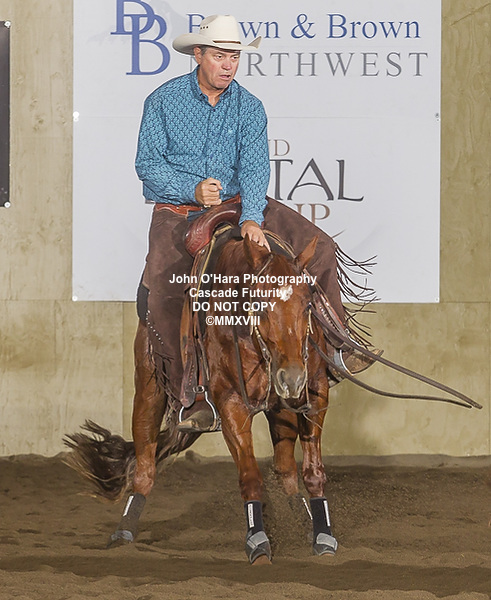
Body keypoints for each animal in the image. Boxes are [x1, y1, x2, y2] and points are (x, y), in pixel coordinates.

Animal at [65, 229, 338, 564]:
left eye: (308, 305)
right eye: (260, 305)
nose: (292, 377)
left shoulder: (314, 395)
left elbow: (313, 472)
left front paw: (323, 534)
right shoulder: (231, 404)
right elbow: (250, 477)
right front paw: (258, 541)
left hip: (280, 410)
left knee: (286, 469)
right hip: (148, 390)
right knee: (144, 465)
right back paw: (124, 530)